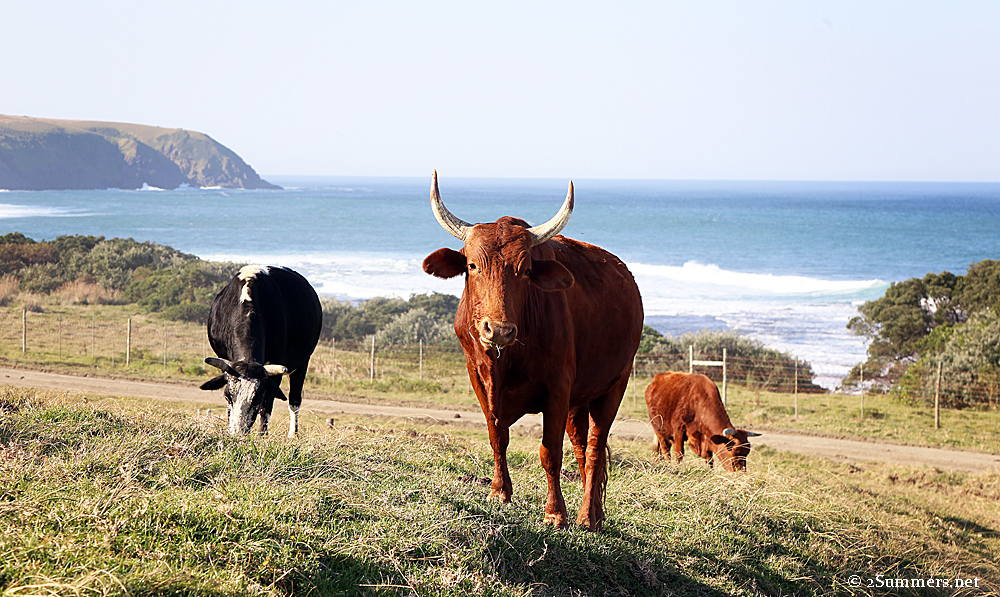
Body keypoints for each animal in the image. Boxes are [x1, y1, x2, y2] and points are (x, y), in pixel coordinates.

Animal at [200, 265, 322, 437]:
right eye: (227, 396)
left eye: (256, 399)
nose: (237, 433)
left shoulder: (276, 368)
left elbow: (267, 405)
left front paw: (261, 435)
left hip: (302, 363)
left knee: (294, 400)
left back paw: (293, 434)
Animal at [422, 171, 643, 531]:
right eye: (472, 265)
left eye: (525, 270)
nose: (499, 330)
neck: (504, 362)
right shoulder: (478, 380)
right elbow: (497, 436)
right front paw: (499, 491)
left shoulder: (557, 388)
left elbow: (550, 451)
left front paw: (555, 512)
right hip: (578, 400)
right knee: (581, 446)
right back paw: (595, 509)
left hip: (614, 386)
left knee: (595, 448)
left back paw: (588, 515)